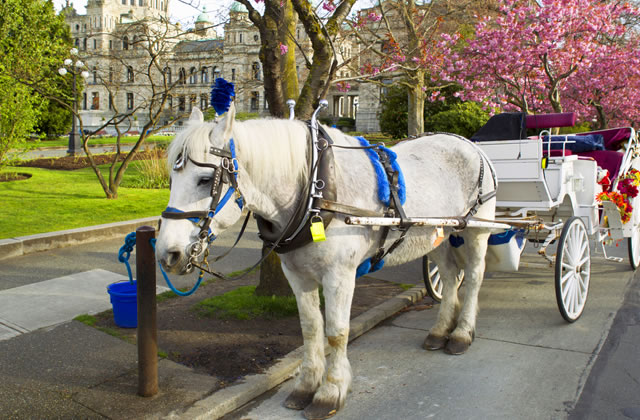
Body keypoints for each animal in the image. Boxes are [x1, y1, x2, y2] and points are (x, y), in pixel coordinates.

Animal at [155, 105, 496, 420]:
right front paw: (306, 386)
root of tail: (470, 144)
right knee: (450, 277)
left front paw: (330, 392)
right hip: (437, 234)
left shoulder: (339, 275)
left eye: (204, 180)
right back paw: (440, 331)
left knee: (473, 278)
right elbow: (310, 328)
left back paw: (462, 334)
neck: (314, 193)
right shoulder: (297, 275)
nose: (167, 254)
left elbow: (336, 331)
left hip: (476, 231)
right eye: (171, 177)